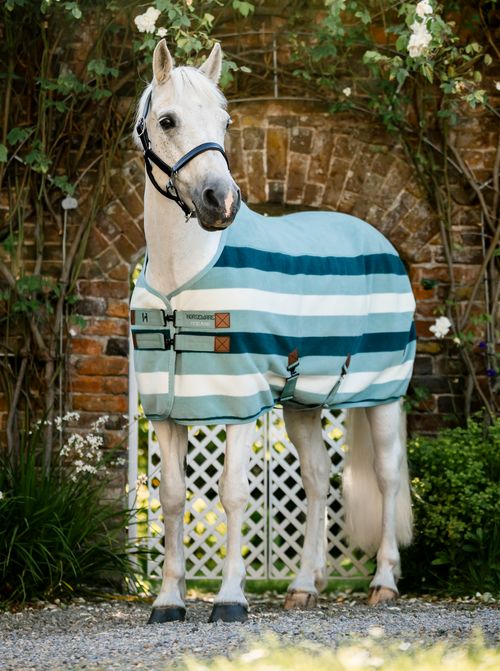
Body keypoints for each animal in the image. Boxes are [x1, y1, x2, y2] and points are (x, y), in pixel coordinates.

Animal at [131, 40, 416, 624]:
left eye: (224, 121)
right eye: (167, 120)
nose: (221, 201)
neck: (178, 280)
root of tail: (378, 240)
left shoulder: (239, 401)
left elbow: (233, 493)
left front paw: (230, 599)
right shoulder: (168, 409)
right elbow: (171, 496)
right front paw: (168, 601)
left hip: (382, 394)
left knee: (387, 477)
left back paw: (383, 582)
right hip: (303, 403)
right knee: (318, 480)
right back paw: (306, 585)